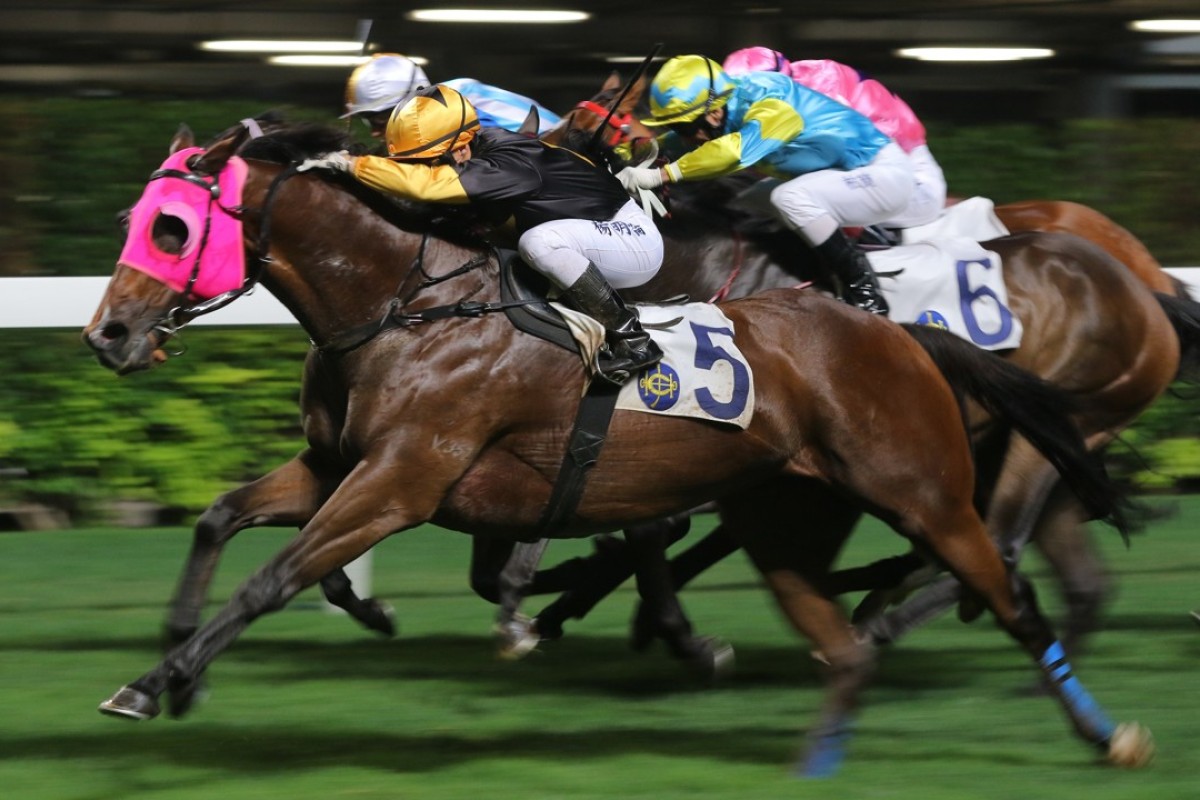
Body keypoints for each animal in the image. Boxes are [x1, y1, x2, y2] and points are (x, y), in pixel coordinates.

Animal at [82, 120, 1152, 777]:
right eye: (137, 220)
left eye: (170, 228)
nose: (109, 335)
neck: (406, 305)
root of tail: (897, 334)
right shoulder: (339, 467)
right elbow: (221, 516)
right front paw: (179, 653)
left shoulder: (402, 480)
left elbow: (277, 577)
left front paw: (155, 684)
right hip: (789, 513)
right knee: (858, 634)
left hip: (923, 487)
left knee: (1009, 588)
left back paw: (1103, 733)